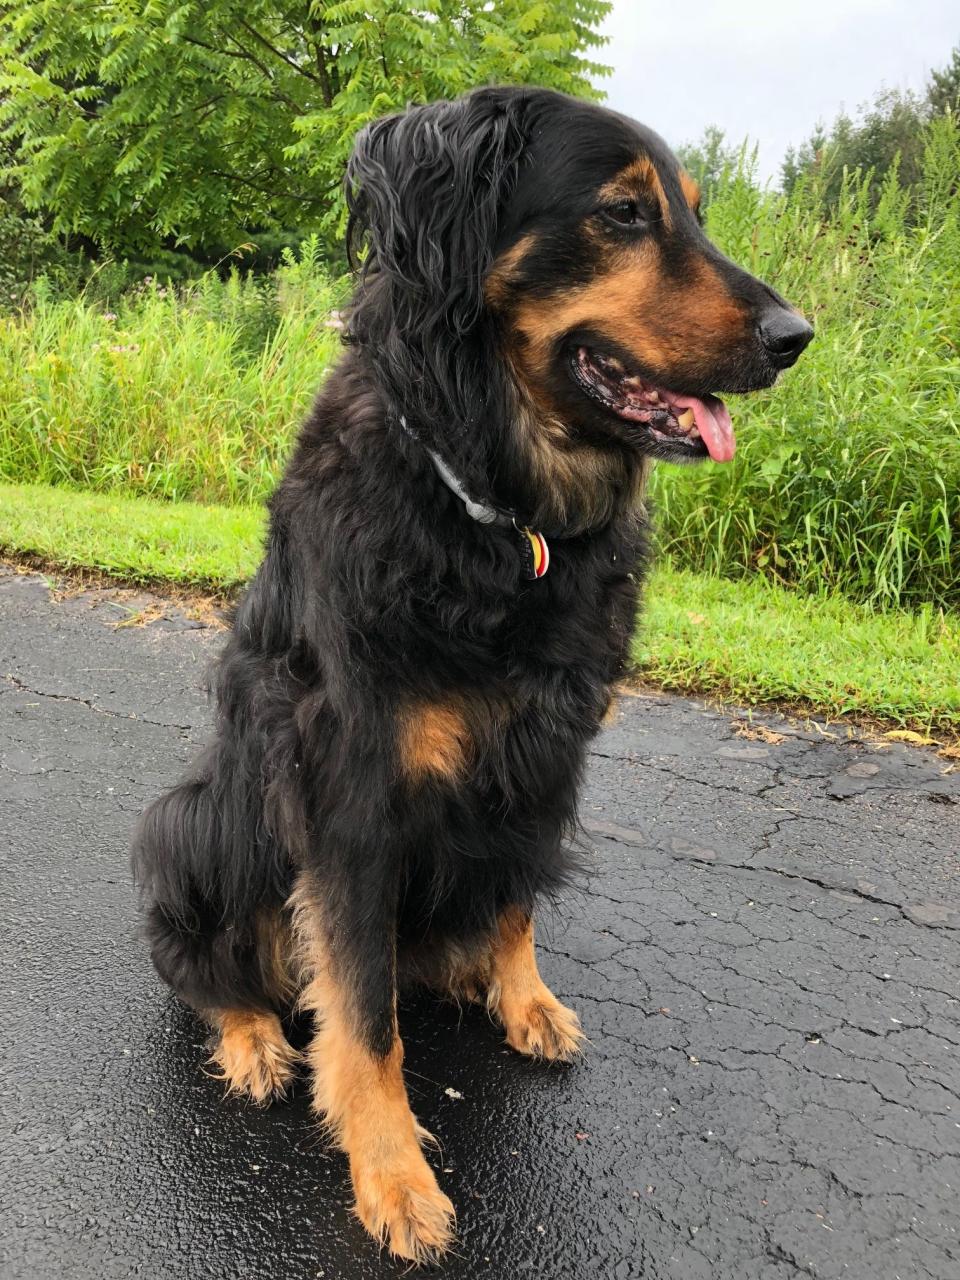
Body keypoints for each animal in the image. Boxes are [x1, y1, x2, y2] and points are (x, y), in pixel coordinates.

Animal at [131, 85, 814, 1264]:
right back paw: (255, 1037)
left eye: (695, 210)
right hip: (194, 815)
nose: (795, 338)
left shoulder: (550, 751)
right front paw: (394, 1174)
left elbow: (517, 899)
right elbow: (362, 1013)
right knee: (204, 964)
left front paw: (520, 995)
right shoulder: (350, 791)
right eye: (623, 213)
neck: (501, 520)